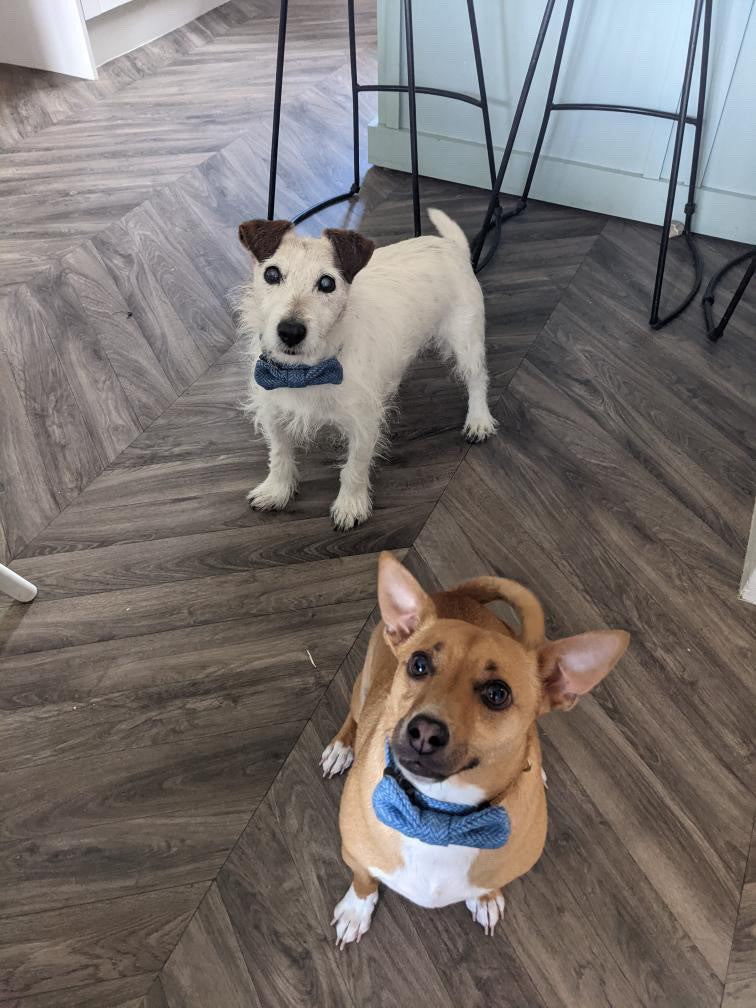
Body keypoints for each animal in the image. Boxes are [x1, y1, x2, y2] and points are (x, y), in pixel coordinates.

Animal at [236, 208, 497, 532]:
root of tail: (450, 246)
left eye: (327, 283)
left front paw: (351, 505)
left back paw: (479, 419)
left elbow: (355, 467)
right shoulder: (273, 410)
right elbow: (280, 454)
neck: (306, 371)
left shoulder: (363, 425)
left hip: (466, 341)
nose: (291, 331)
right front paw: (277, 490)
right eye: (271, 274)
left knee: (478, 379)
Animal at [322, 552, 628, 943]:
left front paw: (485, 898)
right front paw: (357, 909)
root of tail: (458, 593)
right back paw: (342, 747)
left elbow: (490, 884)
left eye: (497, 694)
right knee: (355, 714)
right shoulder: (356, 854)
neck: (441, 812)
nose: (424, 731)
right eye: (418, 664)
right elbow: (364, 878)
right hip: (363, 686)